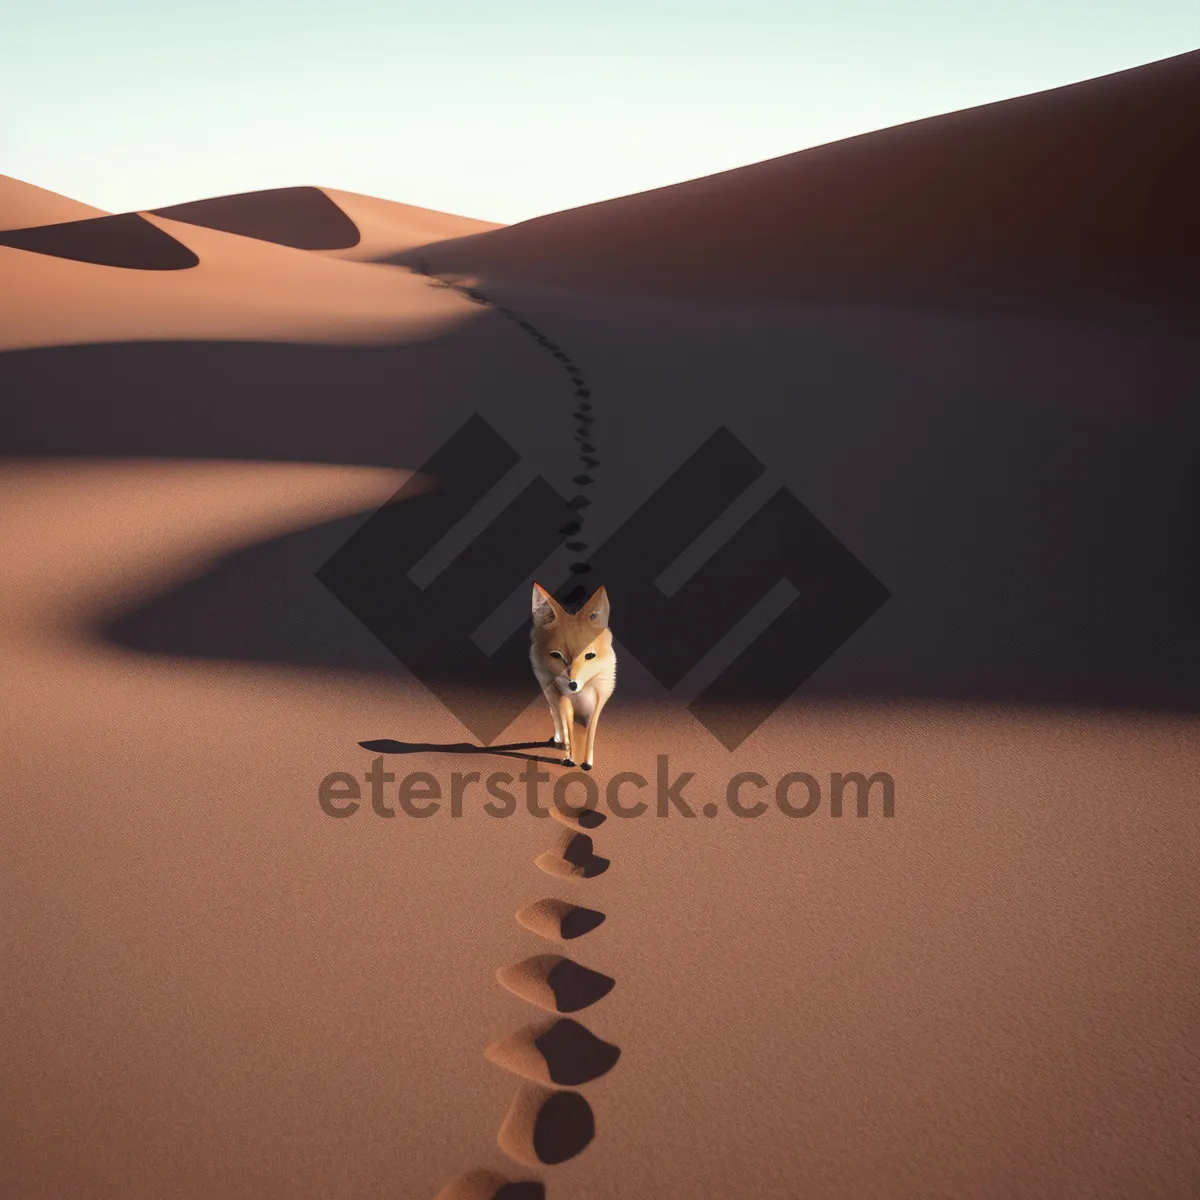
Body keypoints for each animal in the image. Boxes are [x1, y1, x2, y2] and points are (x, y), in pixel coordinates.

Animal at [528, 580, 614, 768]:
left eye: (589, 656)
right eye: (557, 656)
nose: (572, 684)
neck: (580, 693)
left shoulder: (598, 699)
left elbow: (589, 735)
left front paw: (587, 763)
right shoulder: (562, 698)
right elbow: (569, 731)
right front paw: (570, 759)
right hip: (549, 692)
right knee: (556, 718)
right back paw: (558, 741)